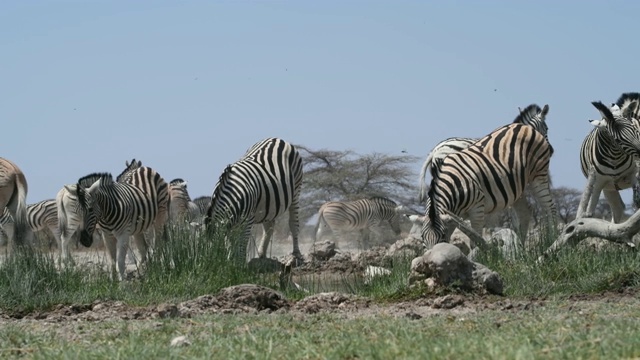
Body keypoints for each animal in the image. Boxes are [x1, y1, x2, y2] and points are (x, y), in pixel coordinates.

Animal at [580, 93, 640, 222]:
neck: (615, 157)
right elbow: (589, 213)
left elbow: (637, 203)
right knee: (617, 210)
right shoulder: (597, 182)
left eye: (636, 131)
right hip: (608, 189)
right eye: (617, 140)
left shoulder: (634, 175)